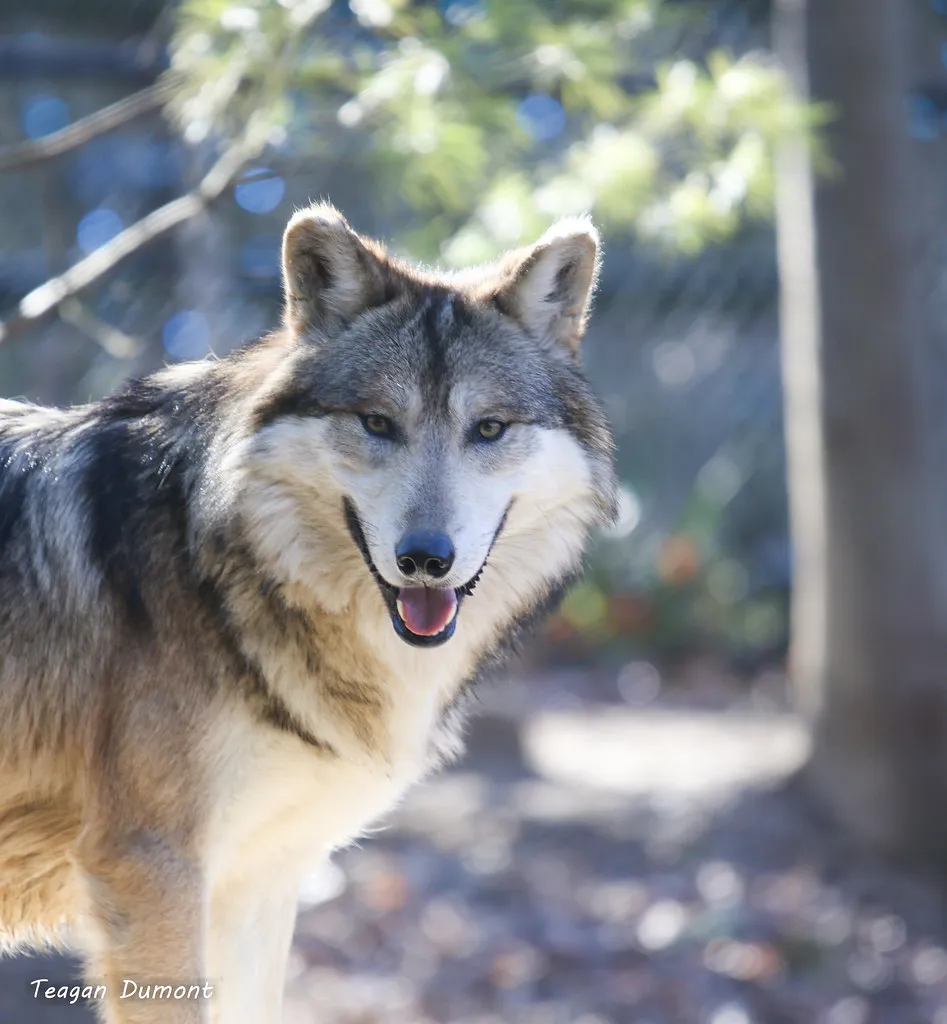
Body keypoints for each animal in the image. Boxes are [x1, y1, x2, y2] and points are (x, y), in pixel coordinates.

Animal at [0, 203, 616, 1023]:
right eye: (377, 423)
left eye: (488, 428)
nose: (426, 558)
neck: (211, 564)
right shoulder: (148, 867)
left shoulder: (258, 881)